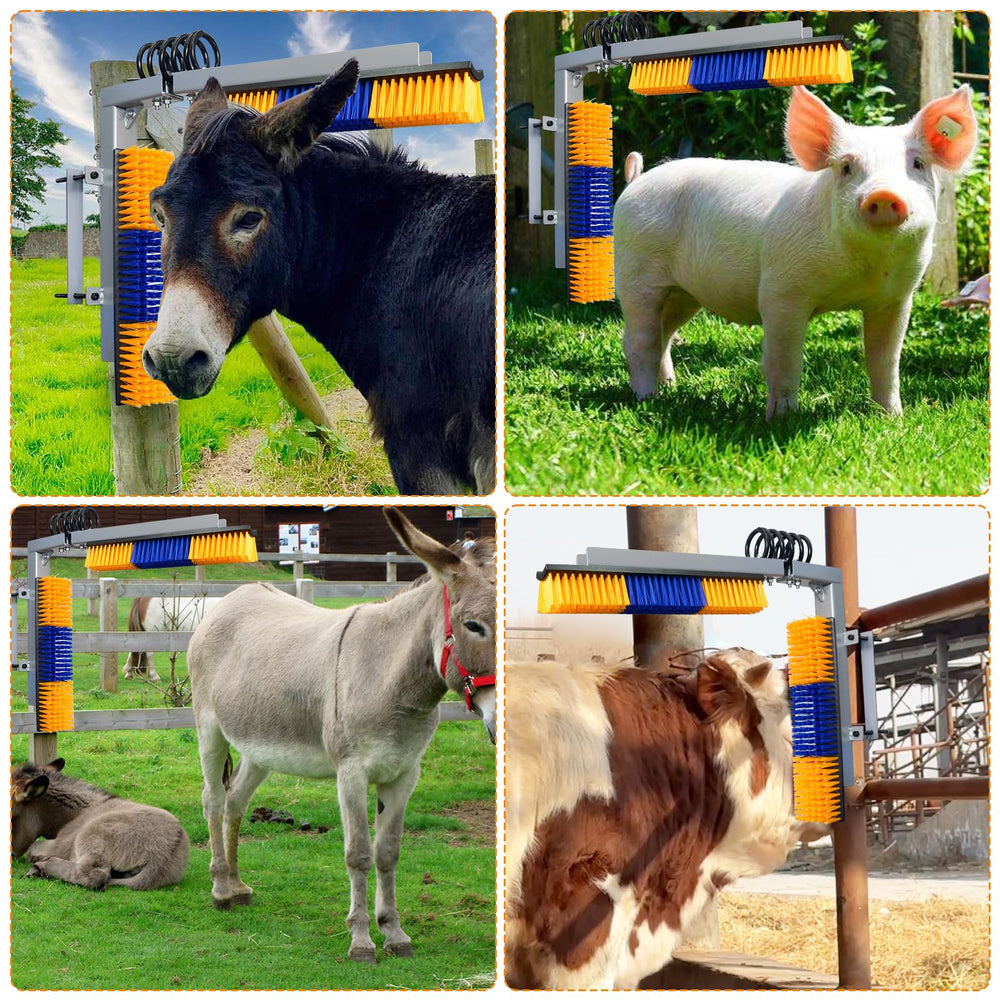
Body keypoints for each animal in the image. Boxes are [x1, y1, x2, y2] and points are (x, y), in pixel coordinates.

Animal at [11, 758, 189, 890]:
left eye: (12, 817)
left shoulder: (59, 845)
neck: (80, 811)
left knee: (94, 875)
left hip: (91, 837)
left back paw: (40, 867)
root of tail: (163, 857)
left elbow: (32, 849)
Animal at [186, 507, 496, 963]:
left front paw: (394, 933)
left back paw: (239, 886)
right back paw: (221, 889)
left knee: (235, 800)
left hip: (260, 747)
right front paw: (361, 940)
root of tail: (234, 597)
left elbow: (389, 853)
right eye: (474, 626)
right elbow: (359, 855)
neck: (389, 678)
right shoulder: (351, 773)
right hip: (210, 730)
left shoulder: (404, 774)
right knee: (212, 800)